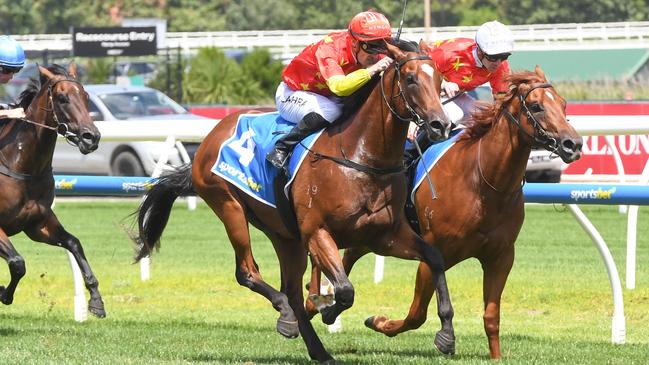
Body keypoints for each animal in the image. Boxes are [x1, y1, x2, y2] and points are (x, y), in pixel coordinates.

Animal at [0, 64, 104, 316]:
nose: (91, 137)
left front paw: (96, 300)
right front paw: (4, 293)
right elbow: (17, 263)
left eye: (86, 96)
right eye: (62, 98)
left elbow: (74, 243)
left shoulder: (38, 224)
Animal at [132, 42, 456, 362]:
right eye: (411, 78)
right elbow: (344, 289)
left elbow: (434, 258)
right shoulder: (317, 232)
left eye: (439, 79)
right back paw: (286, 314)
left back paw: (316, 348)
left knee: (290, 288)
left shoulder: (384, 235)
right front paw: (326, 310)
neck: (360, 156)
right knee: (250, 273)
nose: (440, 125)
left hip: (284, 235)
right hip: (229, 206)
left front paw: (446, 334)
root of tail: (210, 137)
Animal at [318, 65, 584, 358]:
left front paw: (496, 356)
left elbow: (491, 317)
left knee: (348, 255)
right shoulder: (433, 254)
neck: (483, 183)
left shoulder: (501, 257)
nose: (573, 143)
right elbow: (416, 315)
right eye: (536, 106)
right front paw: (380, 321)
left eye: (563, 103)